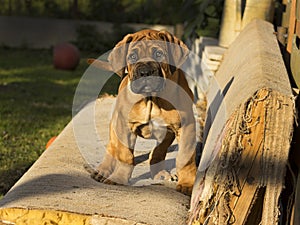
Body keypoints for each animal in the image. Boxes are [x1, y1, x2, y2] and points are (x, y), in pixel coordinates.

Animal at [90, 29, 196, 195]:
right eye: (132, 57)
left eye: (159, 54)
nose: (145, 72)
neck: (152, 100)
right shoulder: (124, 126)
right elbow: (125, 155)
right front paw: (119, 178)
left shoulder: (186, 126)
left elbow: (185, 158)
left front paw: (187, 184)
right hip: (115, 125)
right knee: (112, 146)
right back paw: (103, 169)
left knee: (159, 151)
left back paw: (160, 173)